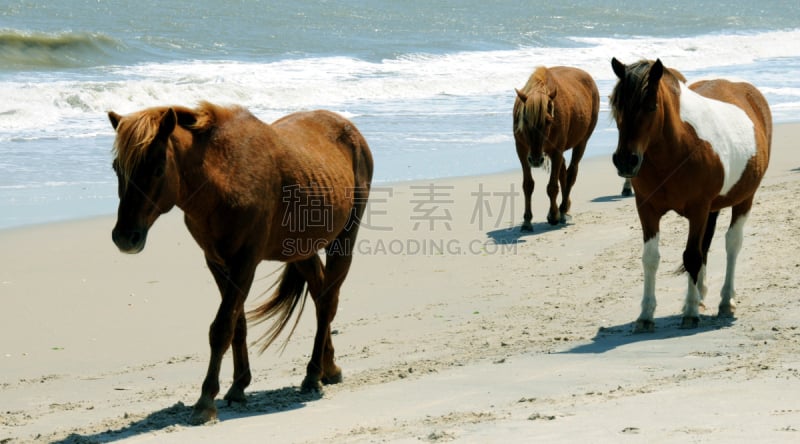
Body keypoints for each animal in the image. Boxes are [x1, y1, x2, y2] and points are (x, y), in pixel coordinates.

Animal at [108, 103, 376, 424]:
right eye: (116, 168)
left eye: (158, 168)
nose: (125, 237)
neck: (223, 179)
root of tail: (351, 131)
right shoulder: (217, 262)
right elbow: (238, 324)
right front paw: (238, 386)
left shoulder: (245, 262)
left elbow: (222, 327)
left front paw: (205, 400)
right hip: (301, 250)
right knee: (320, 293)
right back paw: (328, 367)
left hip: (343, 240)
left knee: (327, 302)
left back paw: (313, 374)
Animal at [512, 67, 600, 232]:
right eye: (525, 120)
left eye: (548, 121)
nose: (535, 159)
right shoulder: (521, 151)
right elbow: (528, 185)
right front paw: (527, 220)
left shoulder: (557, 150)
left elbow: (552, 187)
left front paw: (553, 215)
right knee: (564, 171)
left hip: (582, 142)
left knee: (571, 173)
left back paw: (563, 209)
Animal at [608, 57, 772, 332]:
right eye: (617, 105)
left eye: (651, 106)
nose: (625, 161)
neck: (677, 148)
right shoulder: (647, 209)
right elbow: (651, 258)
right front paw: (645, 316)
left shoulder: (698, 209)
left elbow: (692, 256)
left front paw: (691, 313)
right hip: (713, 209)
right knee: (706, 245)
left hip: (744, 199)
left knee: (732, 244)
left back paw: (725, 301)